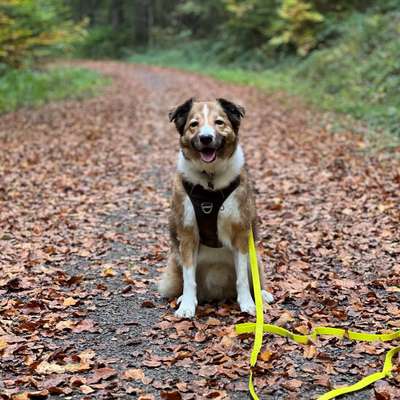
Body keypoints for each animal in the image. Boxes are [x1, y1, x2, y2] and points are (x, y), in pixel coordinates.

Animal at [158, 99, 274, 318]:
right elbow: (189, 278)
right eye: (194, 124)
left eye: (219, 122)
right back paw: (183, 298)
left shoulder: (241, 233)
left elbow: (242, 279)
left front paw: (248, 303)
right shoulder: (188, 235)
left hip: (255, 257)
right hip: (175, 258)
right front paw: (187, 305)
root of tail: (218, 293)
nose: (206, 138)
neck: (210, 180)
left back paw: (262, 294)